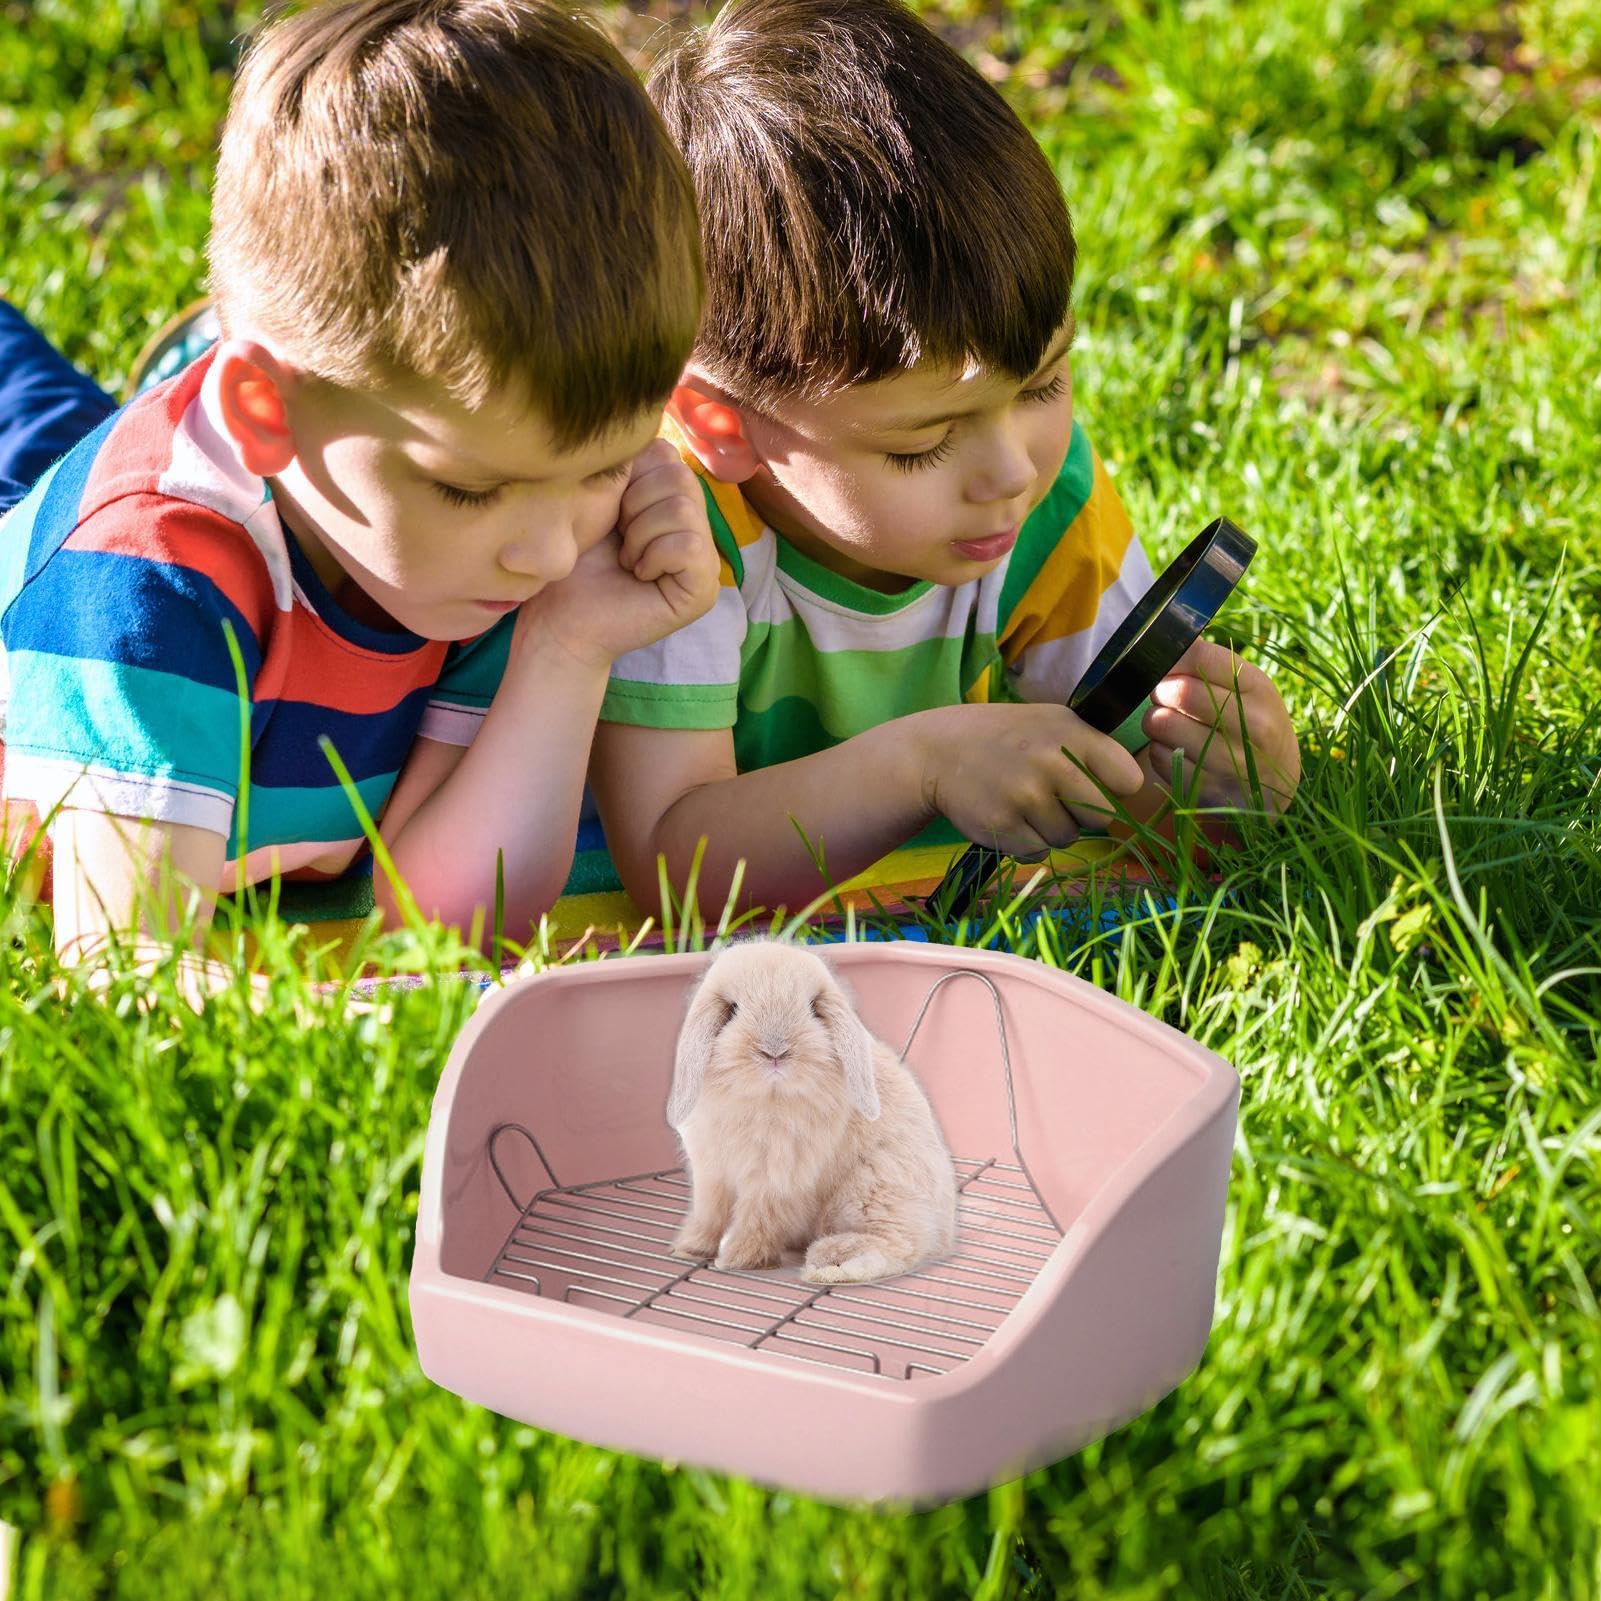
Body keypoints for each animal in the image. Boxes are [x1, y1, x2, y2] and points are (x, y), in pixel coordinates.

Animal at [664, 936, 959, 1285]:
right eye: (732, 1009)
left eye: (813, 1009)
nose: (775, 1051)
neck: (767, 1097)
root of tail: (946, 1232)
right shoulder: (712, 1174)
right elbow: (709, 1215)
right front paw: (689, 1249)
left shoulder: (775, 1182)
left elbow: (756, 1222)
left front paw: (735, 1260)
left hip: (870, 1191)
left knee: (898, 1244)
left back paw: (829, 1261)